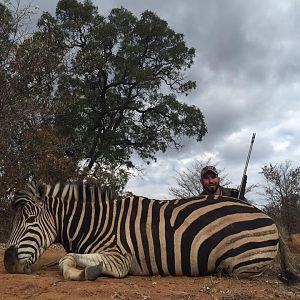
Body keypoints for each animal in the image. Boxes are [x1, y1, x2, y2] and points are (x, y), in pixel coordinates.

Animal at [3, 180, 298, 284]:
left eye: (30, 219)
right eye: (15, 220)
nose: (8, 263)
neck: (96, 223)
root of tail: (267, 215)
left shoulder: (119, 258)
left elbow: (65, 261)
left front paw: (86, 272)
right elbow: (64, 259)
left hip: (241, 264)